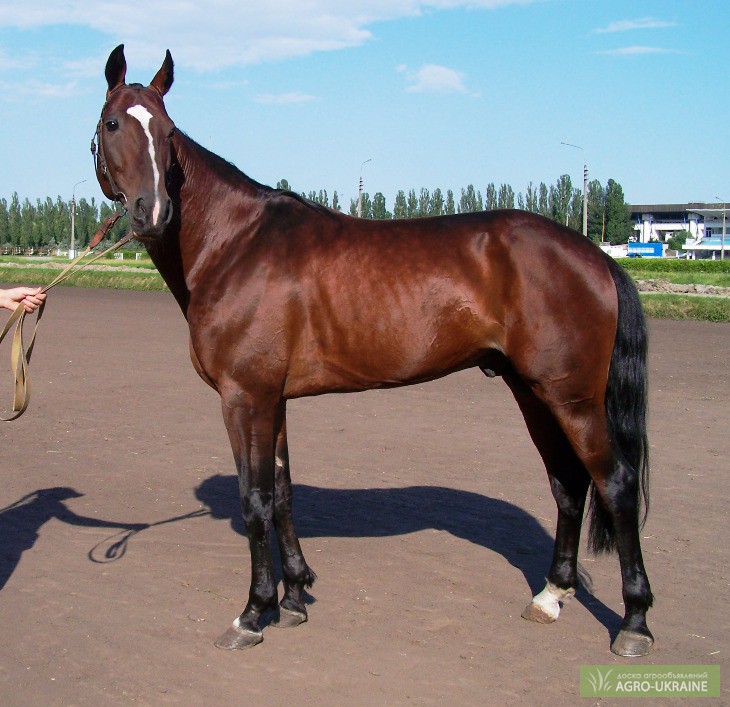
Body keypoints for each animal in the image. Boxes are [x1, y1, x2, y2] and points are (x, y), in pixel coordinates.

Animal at [92, 45, 656, 660]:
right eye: (113, 124)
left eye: (168, 133)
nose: (153, 213)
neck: (235, 244)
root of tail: (594, 256)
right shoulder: (274, 399)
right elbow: (283, 492)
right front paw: (295, 596)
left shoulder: (245, 397)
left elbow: (255, 498)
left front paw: (254, 611)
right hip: (534, 393)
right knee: (567, 483)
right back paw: (551, 595)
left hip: (571, 398)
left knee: (615, 483)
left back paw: (634, 622)